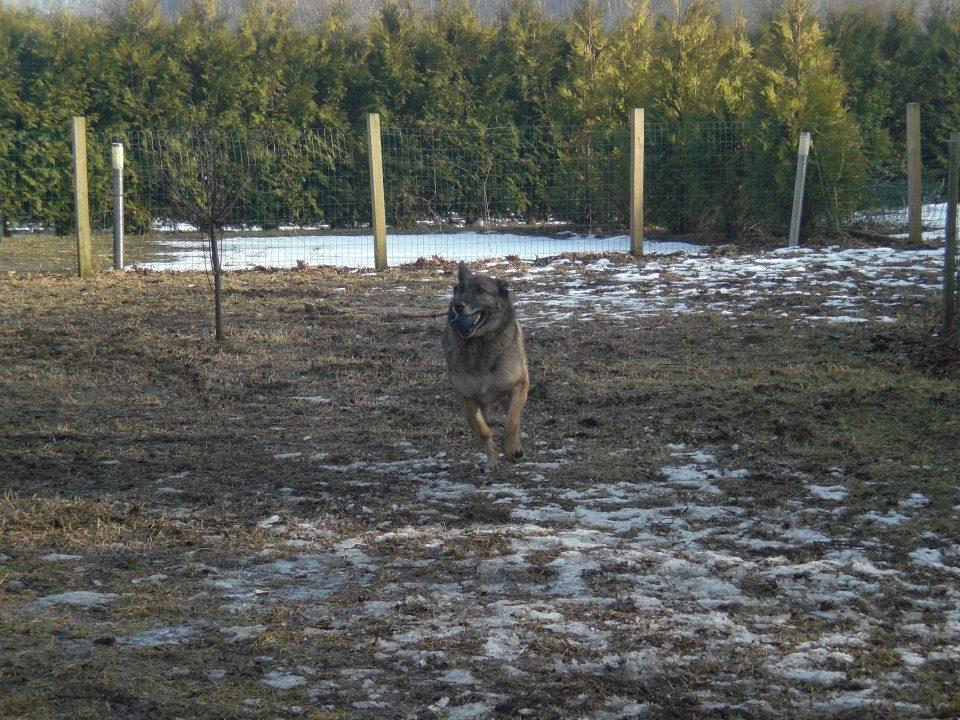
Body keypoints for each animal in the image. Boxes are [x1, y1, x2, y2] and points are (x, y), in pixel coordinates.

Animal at [444, 262, 532, 470]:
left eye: (480, 291)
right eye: (459, 290)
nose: (457, 306)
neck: (480, 343)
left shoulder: (519, 385)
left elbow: (511, 422)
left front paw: (511, 449)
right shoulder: (467, 398)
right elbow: (483, 430)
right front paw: (492, 458)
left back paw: (515, 448)